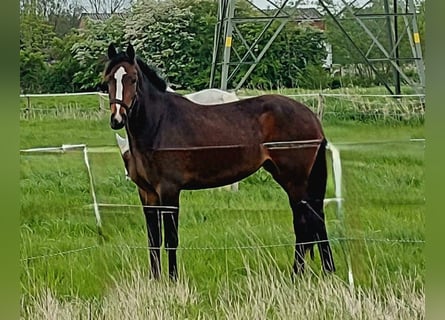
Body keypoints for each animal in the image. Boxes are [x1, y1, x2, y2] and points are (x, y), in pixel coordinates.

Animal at [103, 43, 332, 280]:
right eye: (108, 79)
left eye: (133, 79)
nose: (117, 119)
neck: (159, 124)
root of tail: (311, 117)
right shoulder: (147, 193)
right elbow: (153, 240)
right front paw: (155, 280)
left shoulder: (169, 191)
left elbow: (171, 239)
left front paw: (173, 280)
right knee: (314, 218)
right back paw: (325, 271)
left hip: (294, 180)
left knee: (303, 222)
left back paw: (298, 274)